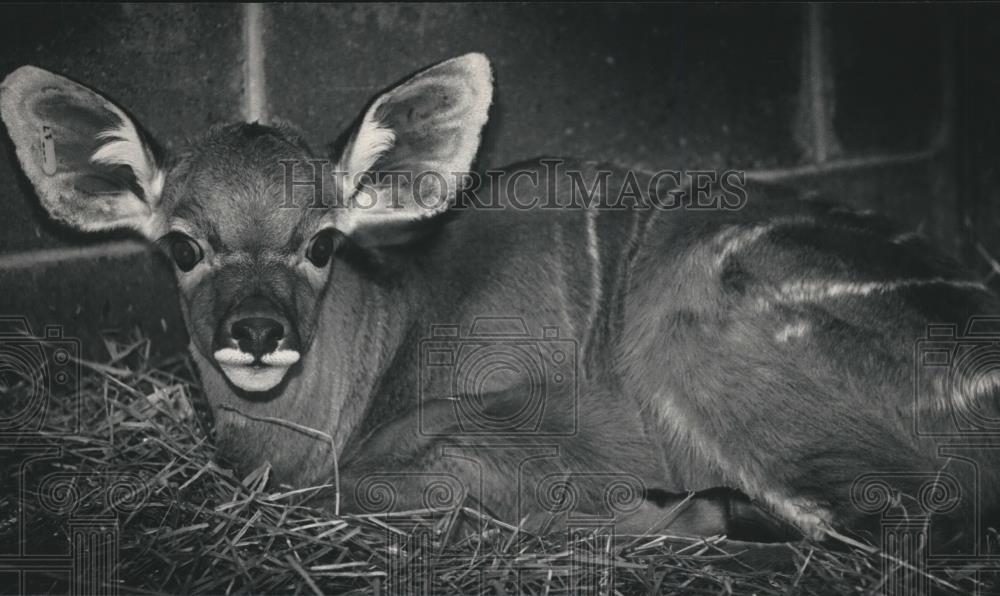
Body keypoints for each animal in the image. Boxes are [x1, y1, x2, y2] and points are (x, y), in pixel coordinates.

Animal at [5, 53, 1000, 548]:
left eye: (322, 240)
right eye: (182, 244)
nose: (258, 331)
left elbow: (401, 484)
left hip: (690, 349)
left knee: (884, 512)